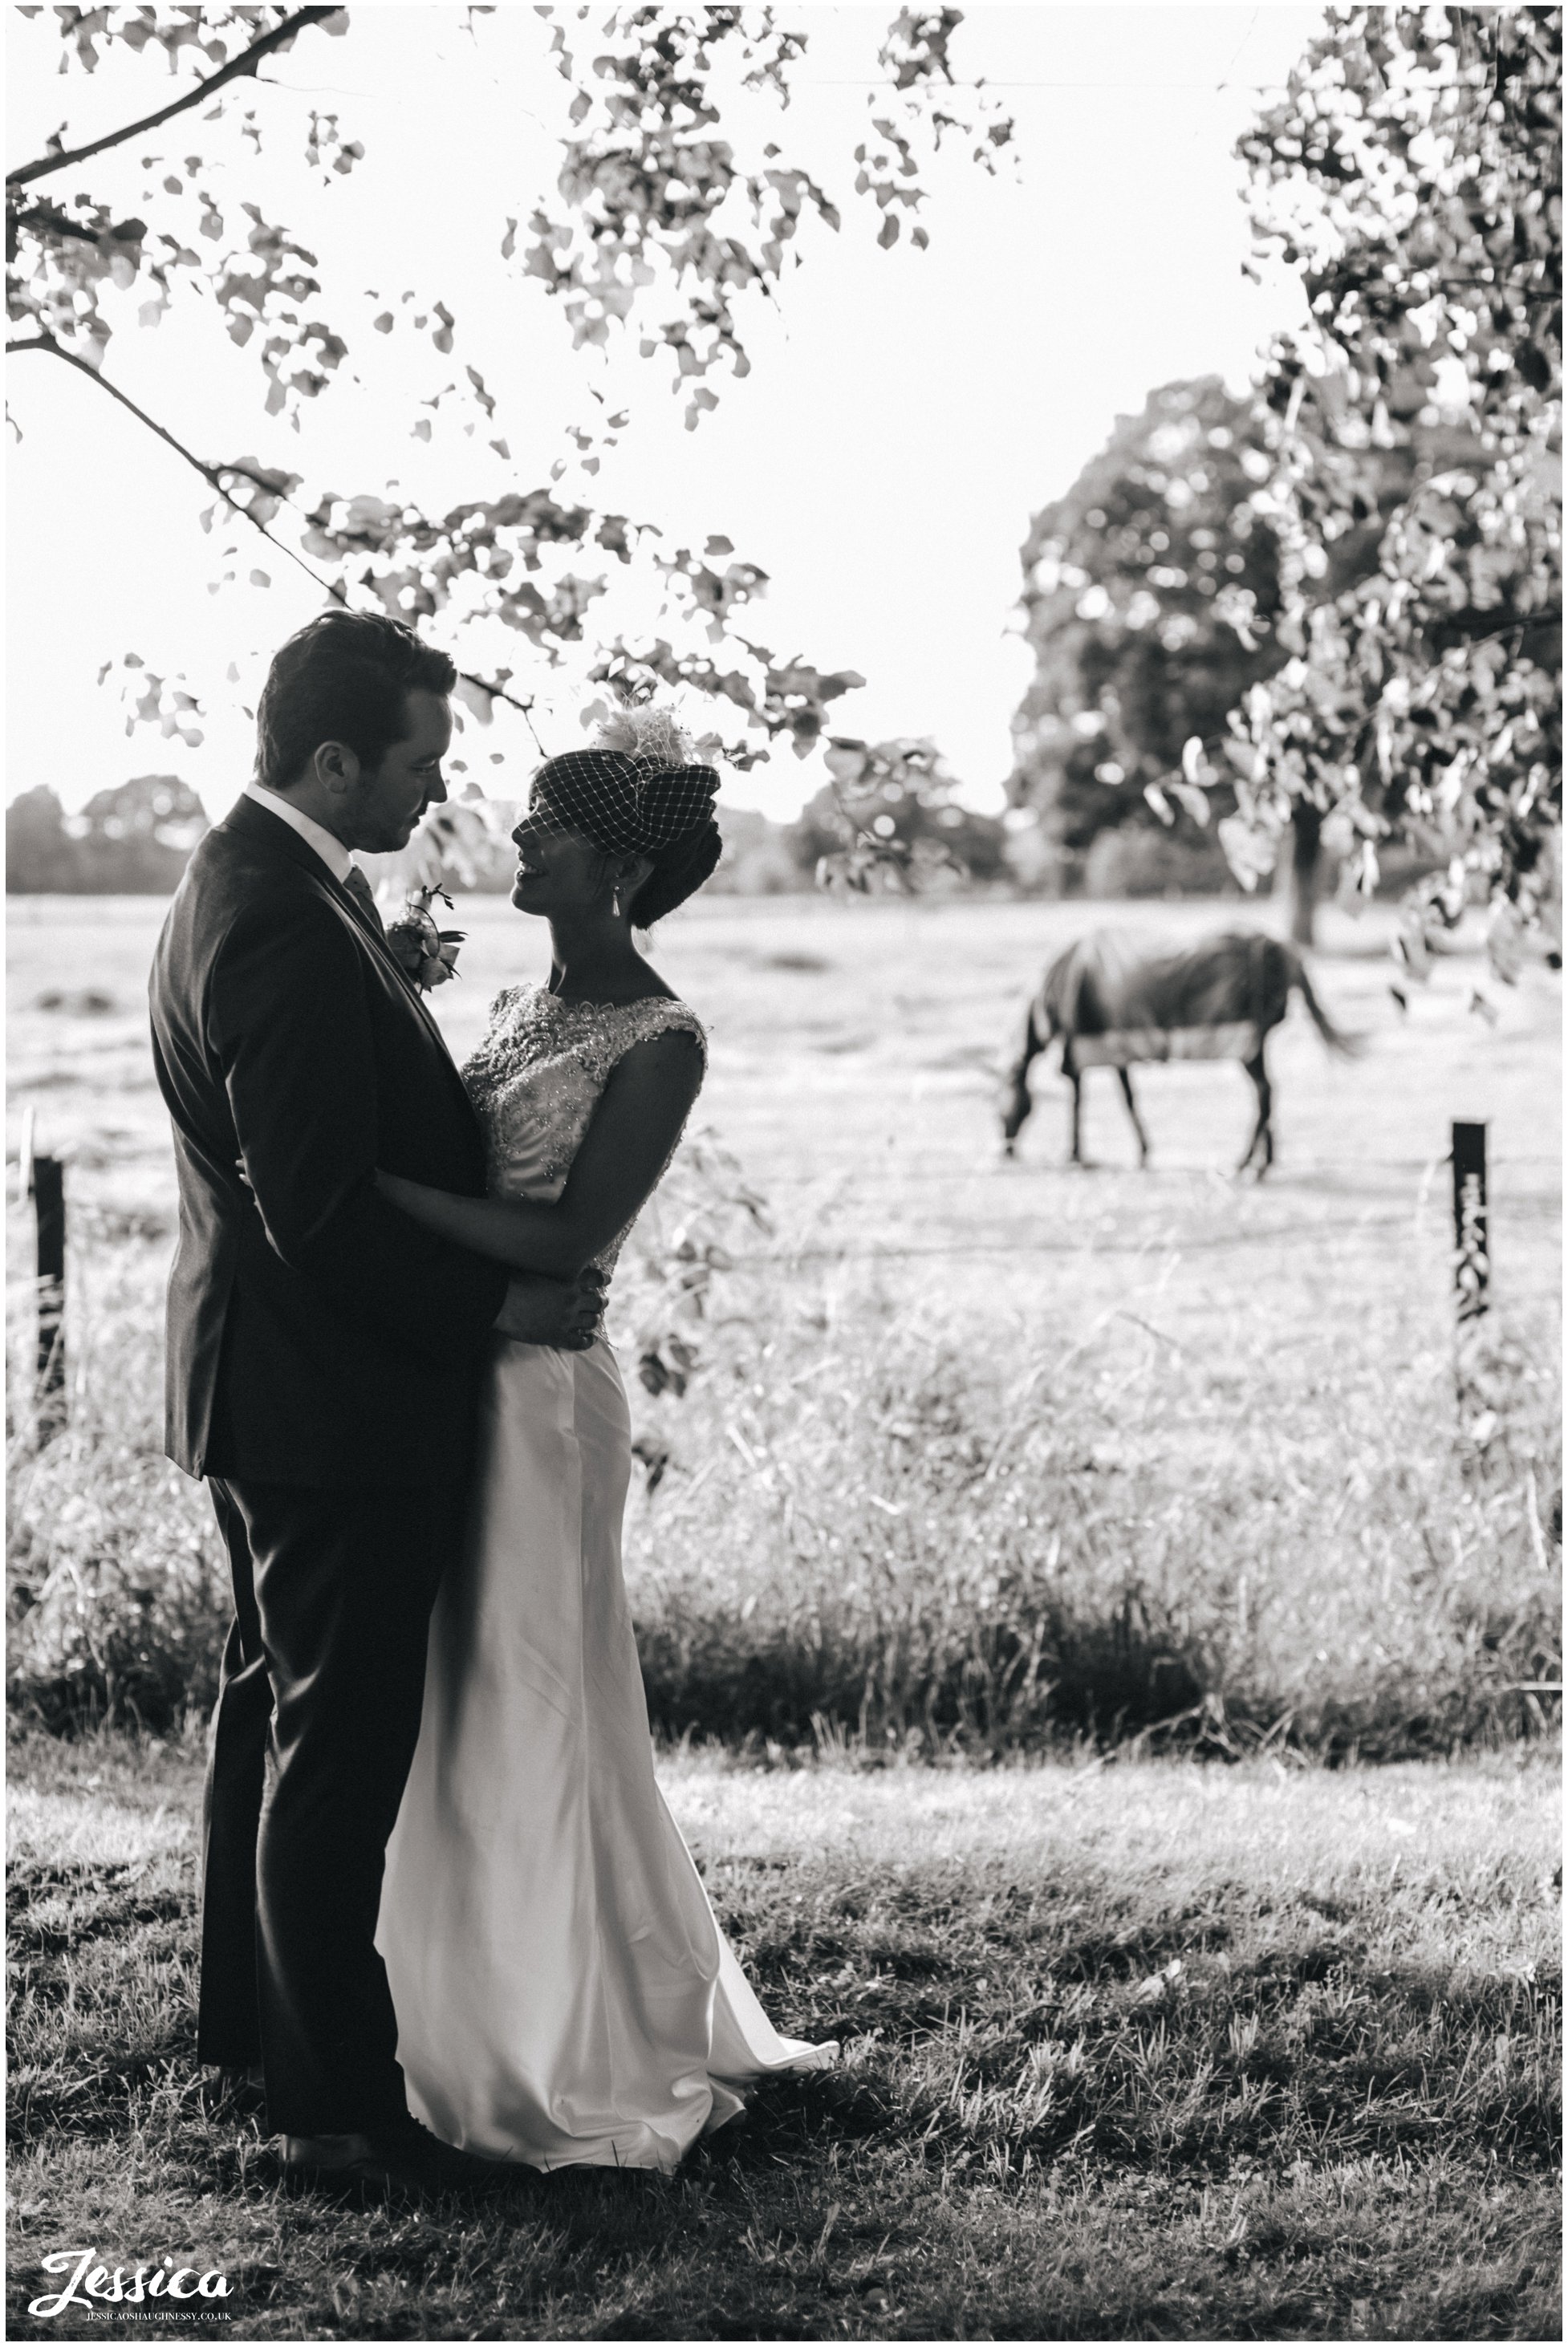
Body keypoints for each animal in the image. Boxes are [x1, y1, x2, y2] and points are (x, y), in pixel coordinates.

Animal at [1004, 929, 1361, 1183]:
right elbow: (1129, 1099)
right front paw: (1142, 1152)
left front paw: (1076, 1154)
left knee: (1264, 1094)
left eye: (998, 1100)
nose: (1006, 1149)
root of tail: (1277, 948)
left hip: (1246, 1044)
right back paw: (1265, 1162)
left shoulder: (1081, 1050)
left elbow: (1083, 1101)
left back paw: (1247, 1165)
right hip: (1256, 1045)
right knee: (1269, 1095)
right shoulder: (1116, 1051)